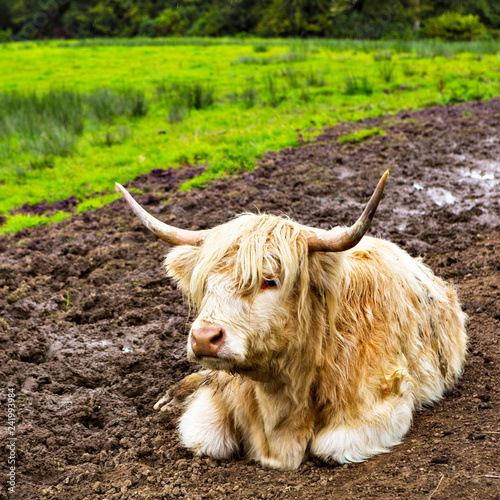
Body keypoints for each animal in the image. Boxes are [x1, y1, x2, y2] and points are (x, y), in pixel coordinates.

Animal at [115, 170, 466, 470]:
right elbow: (206, 435)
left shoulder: (385, 400)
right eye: (206, 283)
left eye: (269, 280)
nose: (204, 338)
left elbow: (330, 447)